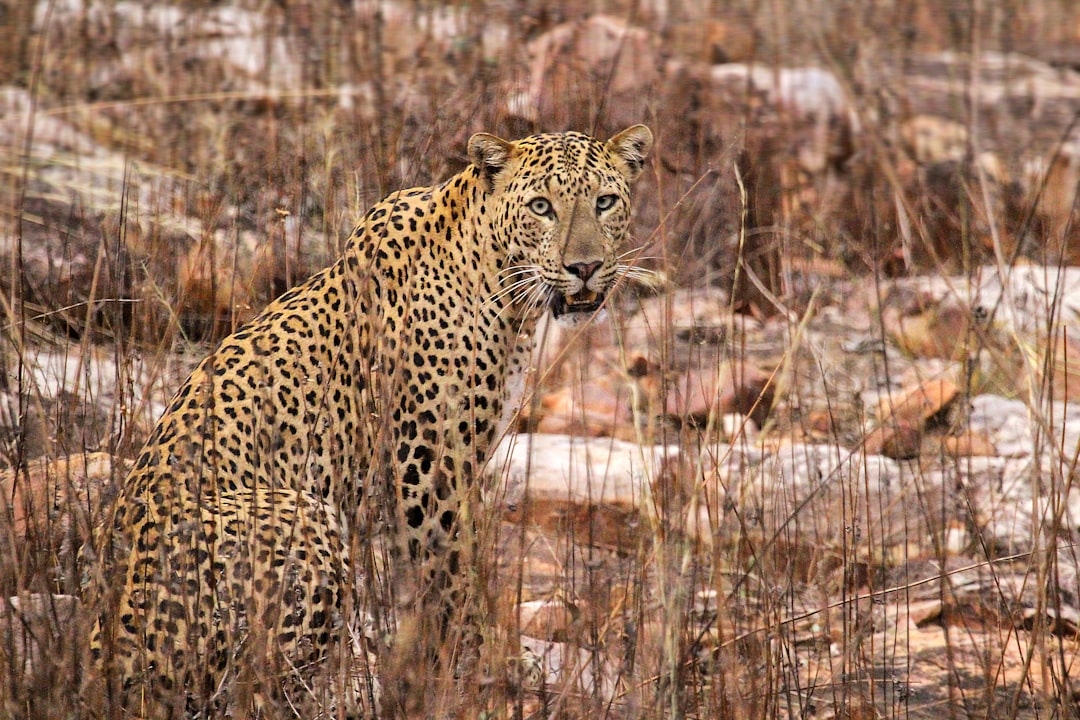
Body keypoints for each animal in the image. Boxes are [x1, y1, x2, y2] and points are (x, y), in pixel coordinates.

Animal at [86, 122, 648, 716]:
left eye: (604, 202)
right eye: (542, 207)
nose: (584, 268)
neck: (506, 292)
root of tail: (102, 651)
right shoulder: (427, 468)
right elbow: (452, 576)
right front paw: (482, 668)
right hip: (304, 516)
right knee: (255, 687)